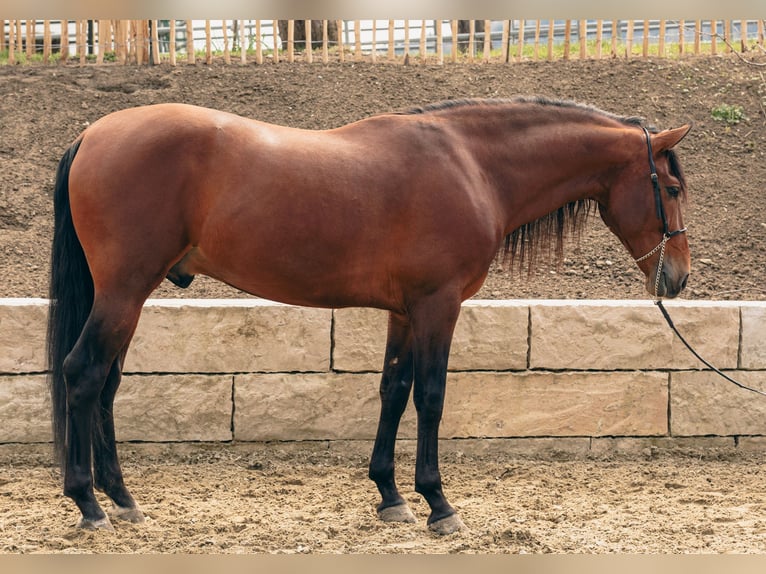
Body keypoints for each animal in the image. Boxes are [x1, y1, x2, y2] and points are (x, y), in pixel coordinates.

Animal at [47, 97, 691, 534]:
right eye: (673, 187)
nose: (677, 278)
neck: (471, 166)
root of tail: (91, 133)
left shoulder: (404, 312)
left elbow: (393, 390)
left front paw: (390, 495)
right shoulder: (438, 306)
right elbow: (430, 396)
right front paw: (437, 503)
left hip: (127, 297)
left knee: (106, 384)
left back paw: (122, 498)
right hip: (124, 291)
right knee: (83, 375)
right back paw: (89, 503)